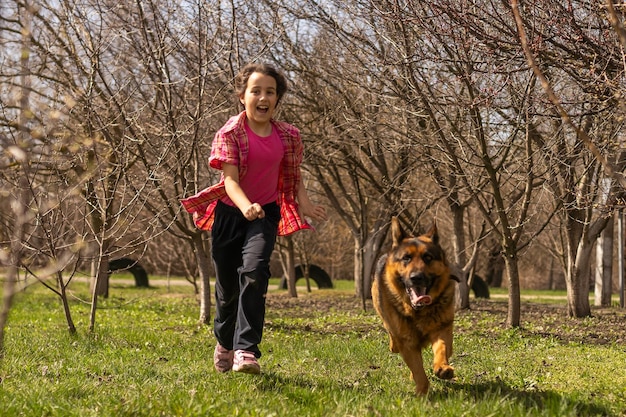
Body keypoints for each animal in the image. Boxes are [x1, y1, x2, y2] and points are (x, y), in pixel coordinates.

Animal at [370, 216, 454, 394]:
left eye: (428, 257)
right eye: (406, 258)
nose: (416, 277)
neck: (418, 311)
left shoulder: (443, 329)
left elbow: (442, 348)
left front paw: (442, 367)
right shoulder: (407, 342)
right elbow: (418, 371)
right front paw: (422, 393)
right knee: (392, 334)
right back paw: (394, 345)